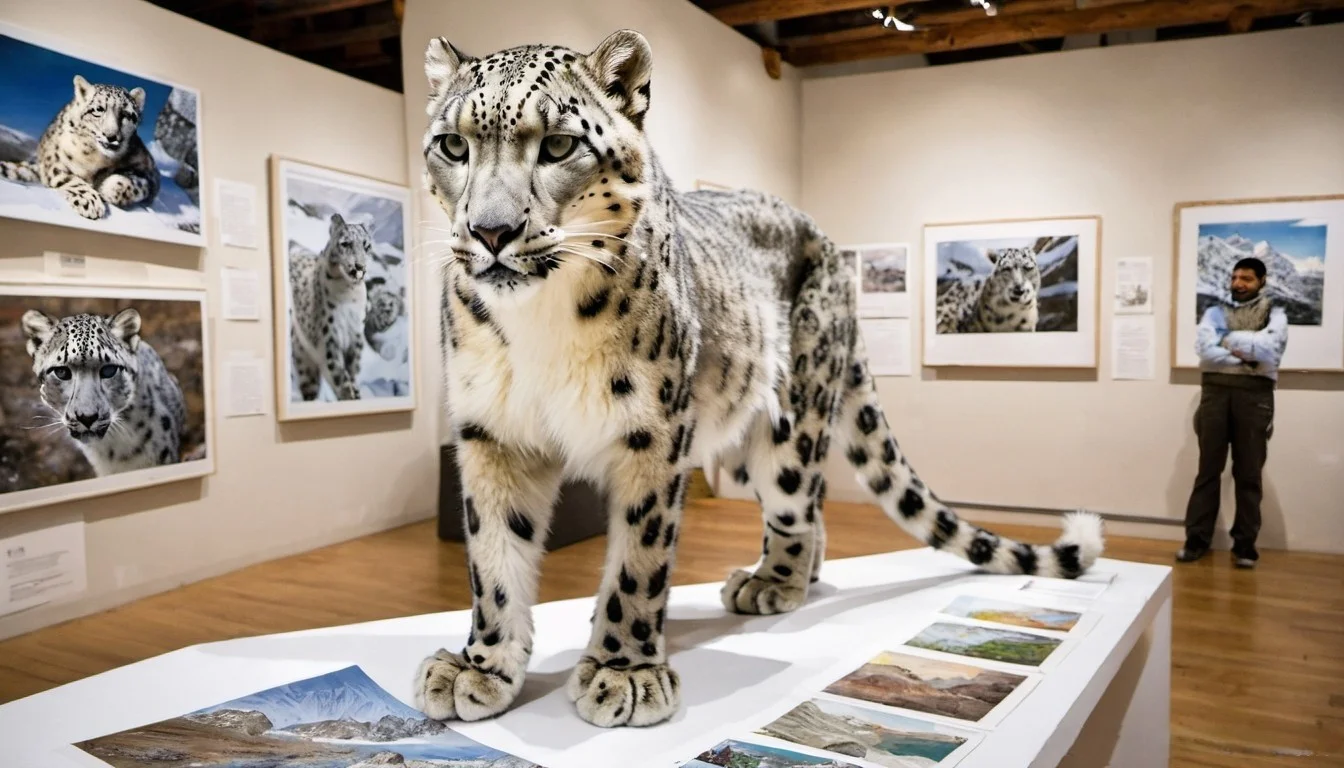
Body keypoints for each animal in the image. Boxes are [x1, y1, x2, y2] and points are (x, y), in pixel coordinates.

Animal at [0, 75, 160, 220]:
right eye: (98, 109)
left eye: (126, 114)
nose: (111, 136)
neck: (98, 159)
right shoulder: (53, 161)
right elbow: (69, 178)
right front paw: (90, 202)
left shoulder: (149, 170)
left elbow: (137, 182)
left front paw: (107, 187)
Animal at [289, 213, 371, 401]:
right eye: (346, 243)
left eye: (366, 245)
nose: (360, 267)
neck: (350, 295)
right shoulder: (329, 338)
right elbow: (340, 375)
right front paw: (349, 395)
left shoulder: (355, 337)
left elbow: (352, 371)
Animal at [413, 29, 1104, 730]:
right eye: (453, 145)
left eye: (558, 145)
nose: (491, 231)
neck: (539, 323)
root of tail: (829, 245)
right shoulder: (492, 432)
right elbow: (493, 553)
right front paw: (481, 666)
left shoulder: (654, 432)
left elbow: (639, 555)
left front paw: (623, 671)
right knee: (815, 508)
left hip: (791, 423)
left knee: (797, 501)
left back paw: (773, 582)